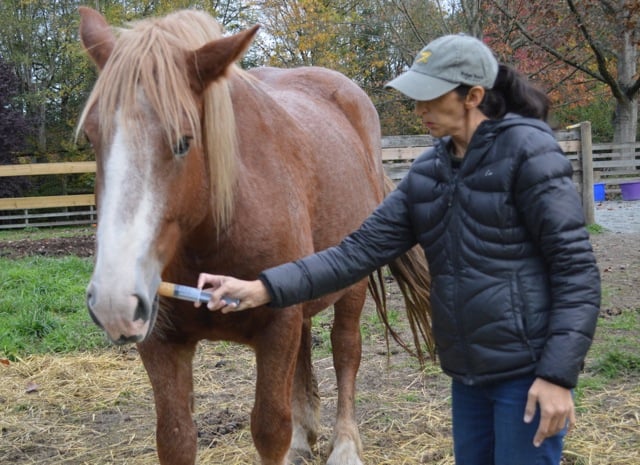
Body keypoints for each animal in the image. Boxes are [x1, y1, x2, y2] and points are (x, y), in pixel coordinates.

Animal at [77, 7, 432, 464]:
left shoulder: (276, 325)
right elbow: (176, 437)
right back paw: (304, 436)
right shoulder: (161, 341)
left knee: (345, 351)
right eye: (92, 137)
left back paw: (345, 443)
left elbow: (269, 428)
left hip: (351, 283)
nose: (114, 301)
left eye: (184, 141)